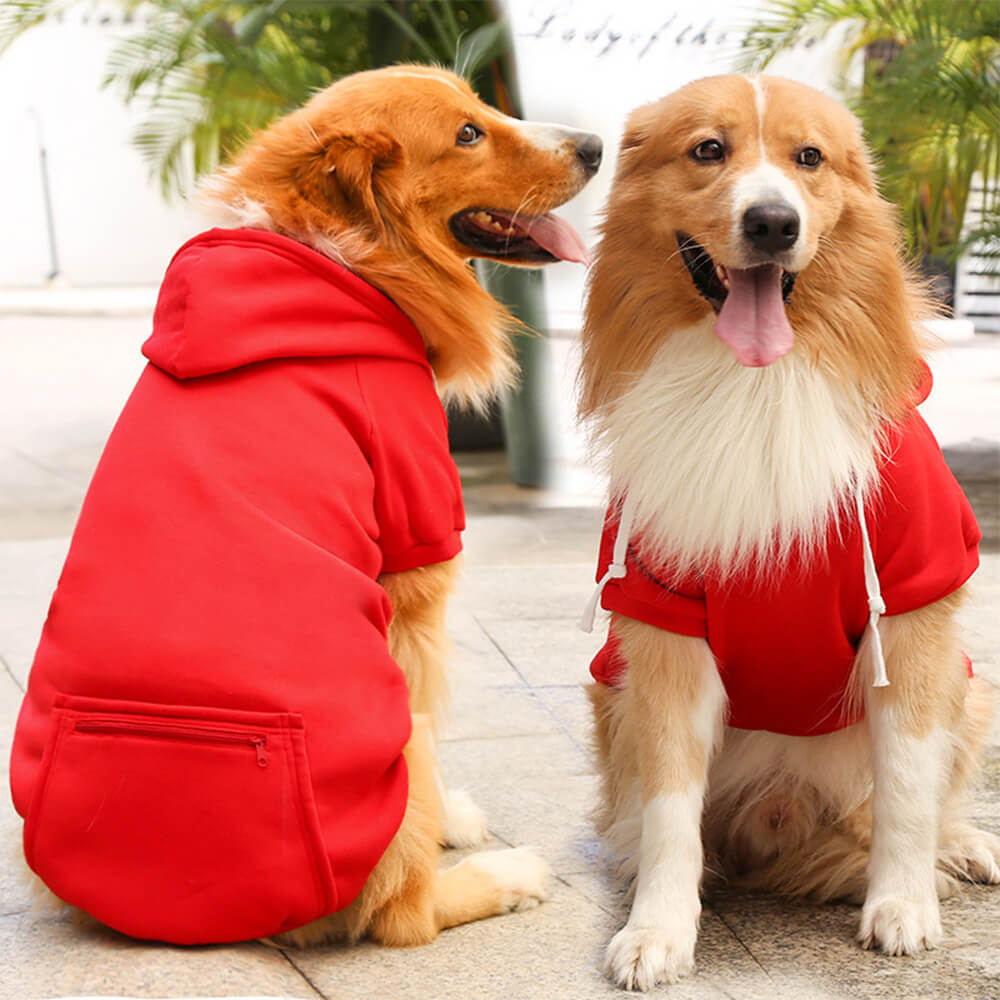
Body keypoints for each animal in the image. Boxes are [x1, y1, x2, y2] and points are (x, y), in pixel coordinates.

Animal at [9, 68, 600, 944]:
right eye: (467, 134)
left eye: (482, 105)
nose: (595, 145)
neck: (349, 263)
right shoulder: (416, 564)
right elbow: (429, 721)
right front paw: (448, 822)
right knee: (403, 912)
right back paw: (504, 874)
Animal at [580, 72, 1000, 992]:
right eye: (709, 149)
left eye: (810, 158)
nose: (773, 223)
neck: (755, 388)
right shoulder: (662, 626)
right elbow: (669, 810)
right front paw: (660, 928)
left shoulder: (912, 610)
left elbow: (907, 787)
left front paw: (903, 904)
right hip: (612, 690)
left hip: (967, 682)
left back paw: (961, 849)